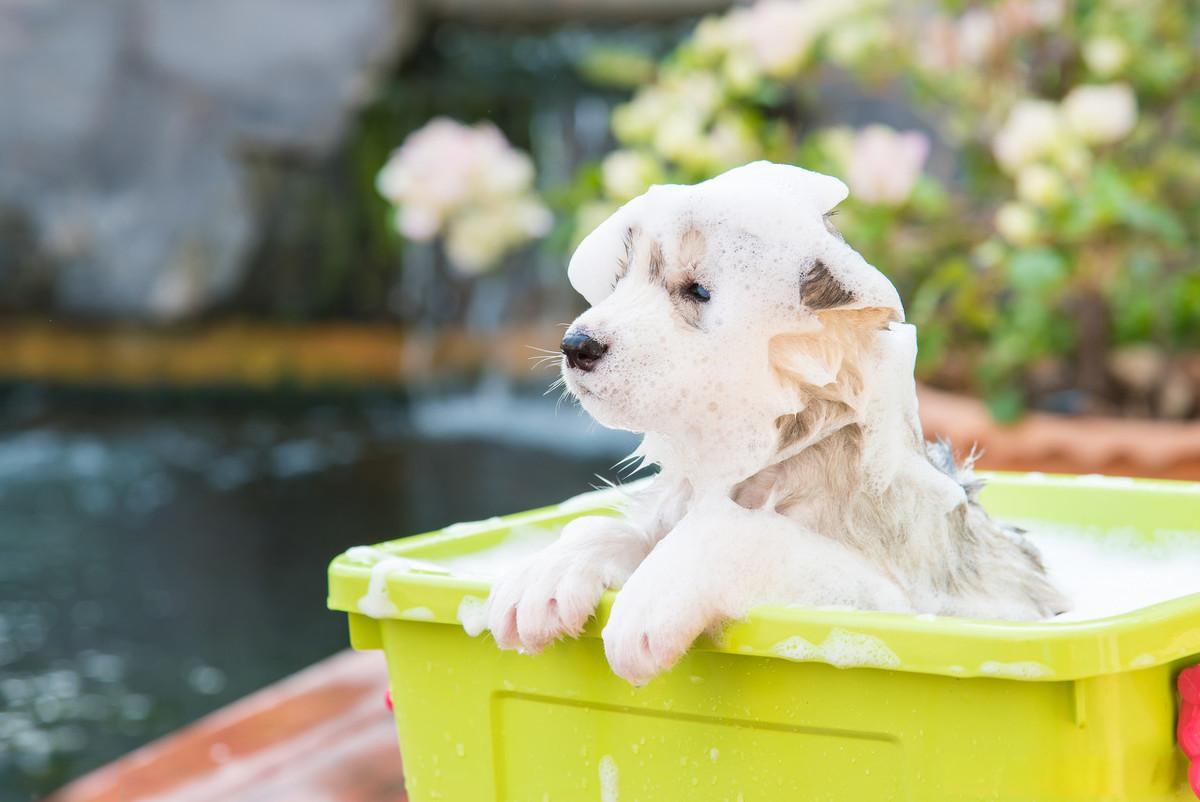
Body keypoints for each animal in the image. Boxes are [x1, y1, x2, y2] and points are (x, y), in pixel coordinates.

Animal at [482, 160, 1065, 681]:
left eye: (699, 291)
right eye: (619, 282)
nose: (576, 345)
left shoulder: (887, 596)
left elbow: (738, 533)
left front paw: (650, 600)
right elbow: (616, 529)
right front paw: (547, 572)